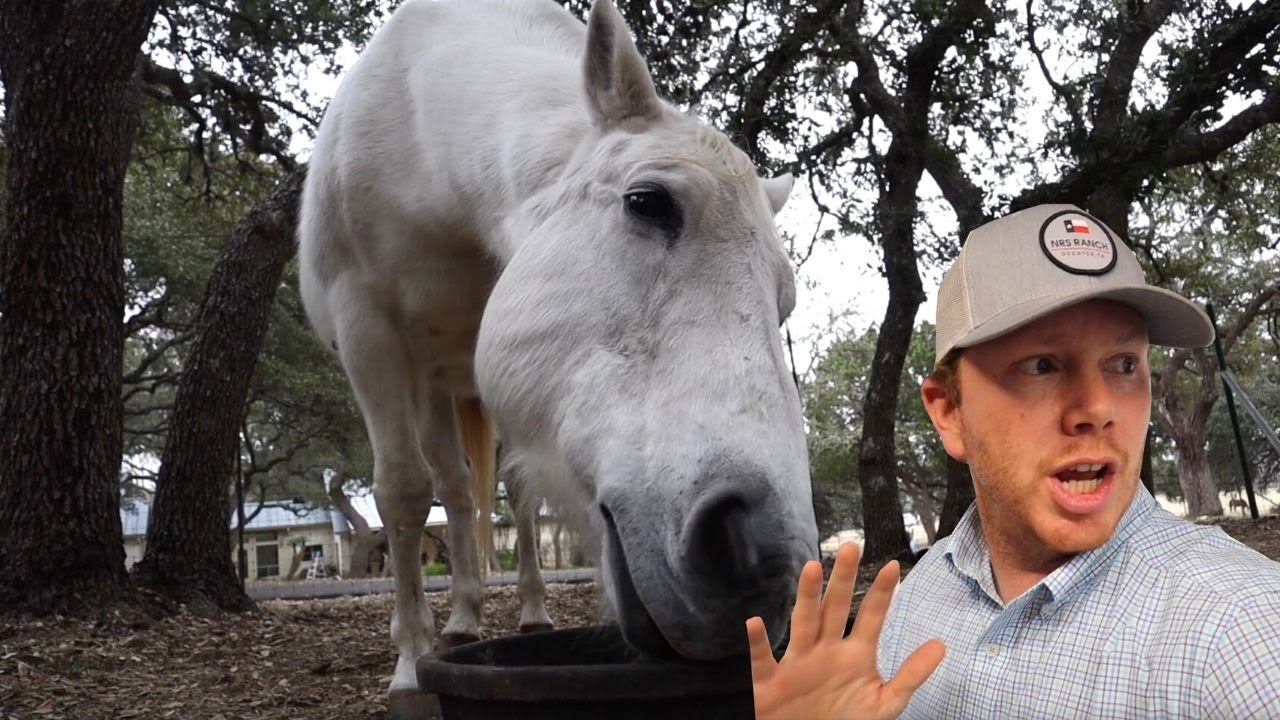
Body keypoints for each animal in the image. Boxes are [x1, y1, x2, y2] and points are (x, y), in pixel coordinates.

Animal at [297, 0, 818, 707]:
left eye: (783, 300)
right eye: (648, 203)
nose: (765, 564)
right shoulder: (367, 335)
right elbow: (402, 491)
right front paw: (408, 664)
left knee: (502, 494)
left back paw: (522, 611)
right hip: (429, 381)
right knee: (452, 488)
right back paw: (458, 622)